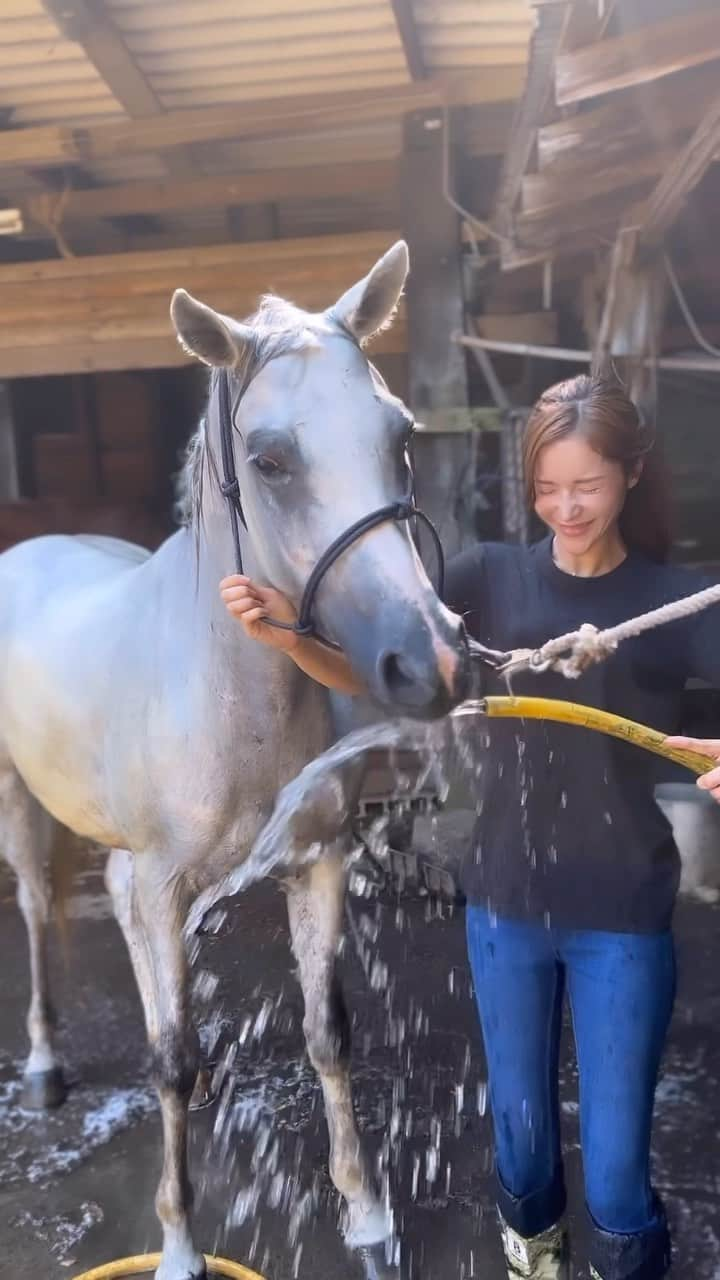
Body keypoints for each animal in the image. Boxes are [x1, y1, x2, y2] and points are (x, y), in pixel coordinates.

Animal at [0, 244, 466, 1274]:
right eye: (271, 460)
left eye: (401, 435)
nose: (428, 659)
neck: (225, 694)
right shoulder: (164, 878)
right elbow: (168, 1064)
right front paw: (179, 1246)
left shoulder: (313, 861)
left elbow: (329, 1035)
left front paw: (367, 1216)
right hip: (24, 808)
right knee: (39, 909)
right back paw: (46, 1065)